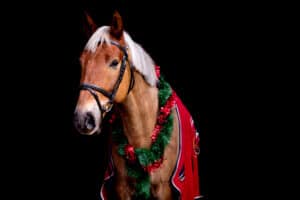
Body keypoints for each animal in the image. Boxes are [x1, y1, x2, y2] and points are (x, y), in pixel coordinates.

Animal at [73, 11, 202, 200]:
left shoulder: (163, 190)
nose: (82, 119)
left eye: (114, 62)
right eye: (82, 62)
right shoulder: (122, 188)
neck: (142, 135)